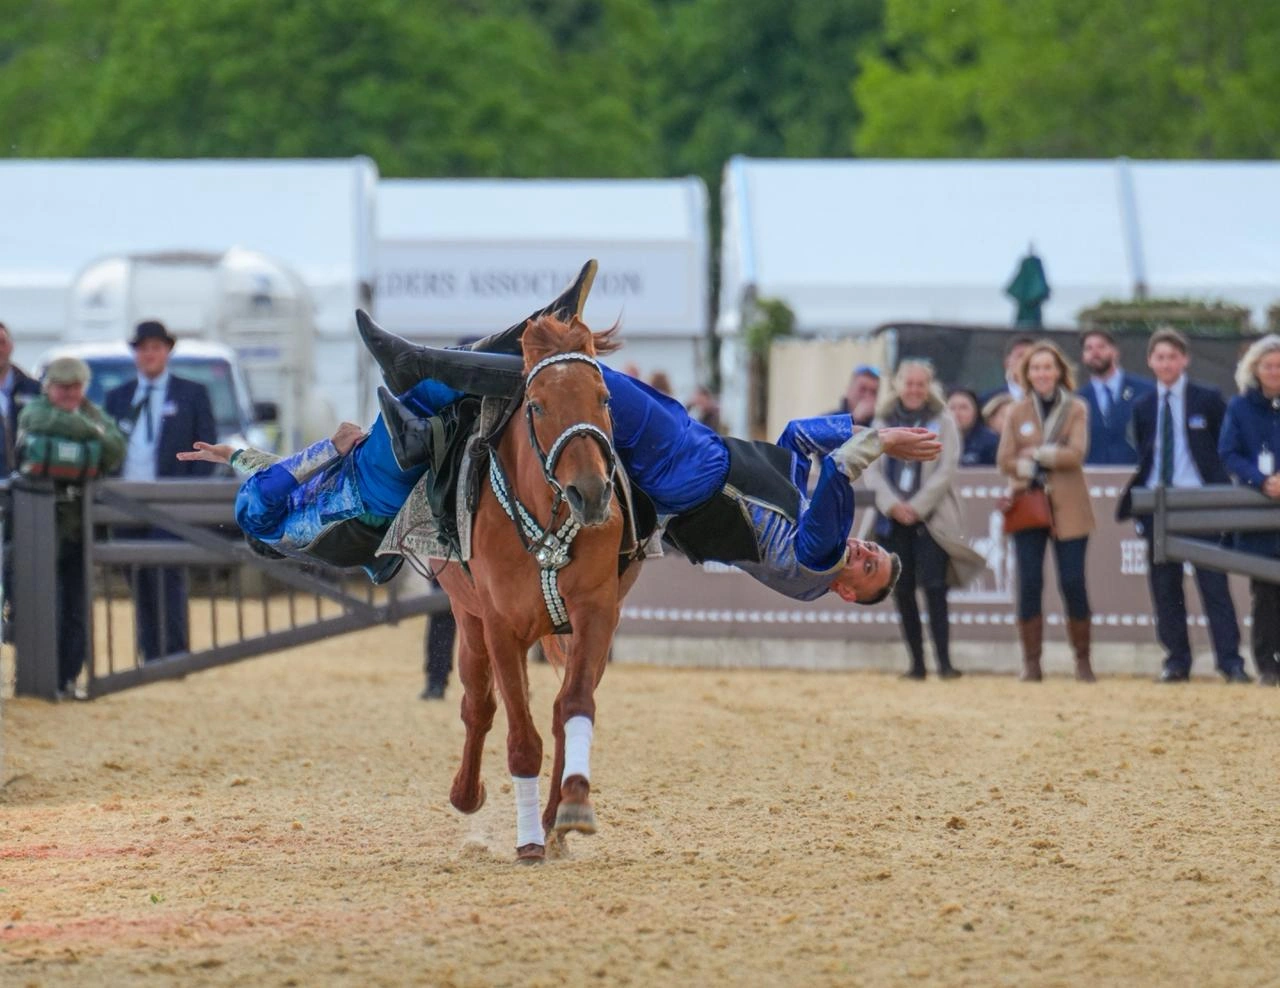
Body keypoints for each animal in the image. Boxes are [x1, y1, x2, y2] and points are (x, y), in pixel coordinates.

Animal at [433, 313, 639, 862]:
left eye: (604, 399)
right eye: (538, 405)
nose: (591, 493)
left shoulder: (596, 613)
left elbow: (574, 706)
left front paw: (572, 806)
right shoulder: (500, 625)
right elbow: (519, 736)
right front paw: (527, 842)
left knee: (555, 707)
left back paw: (553, 815)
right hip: (468, 618)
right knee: (479, 705)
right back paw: (467, 792)